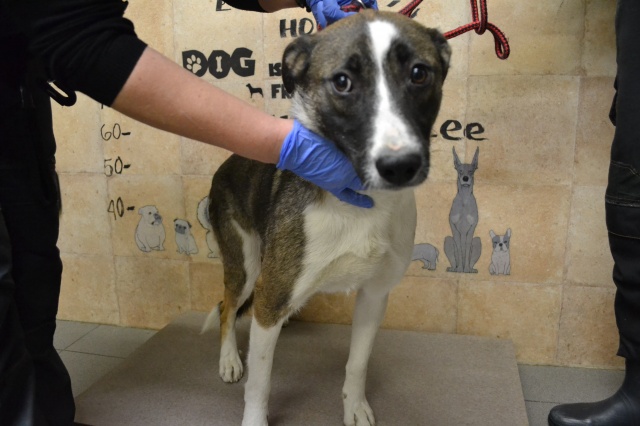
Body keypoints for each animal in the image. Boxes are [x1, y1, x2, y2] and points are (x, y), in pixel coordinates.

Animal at [202, 11, 450, 426]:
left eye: (419, 73)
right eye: (342, 81)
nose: (400, 166)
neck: (361, 201)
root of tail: (227, 162)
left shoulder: (375, 295)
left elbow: (357, 364)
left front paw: (354, 407)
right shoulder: (271, 296)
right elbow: (260, 382)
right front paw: (254, 416)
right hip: (246, 265)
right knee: (227, 308)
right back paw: (229, 361)